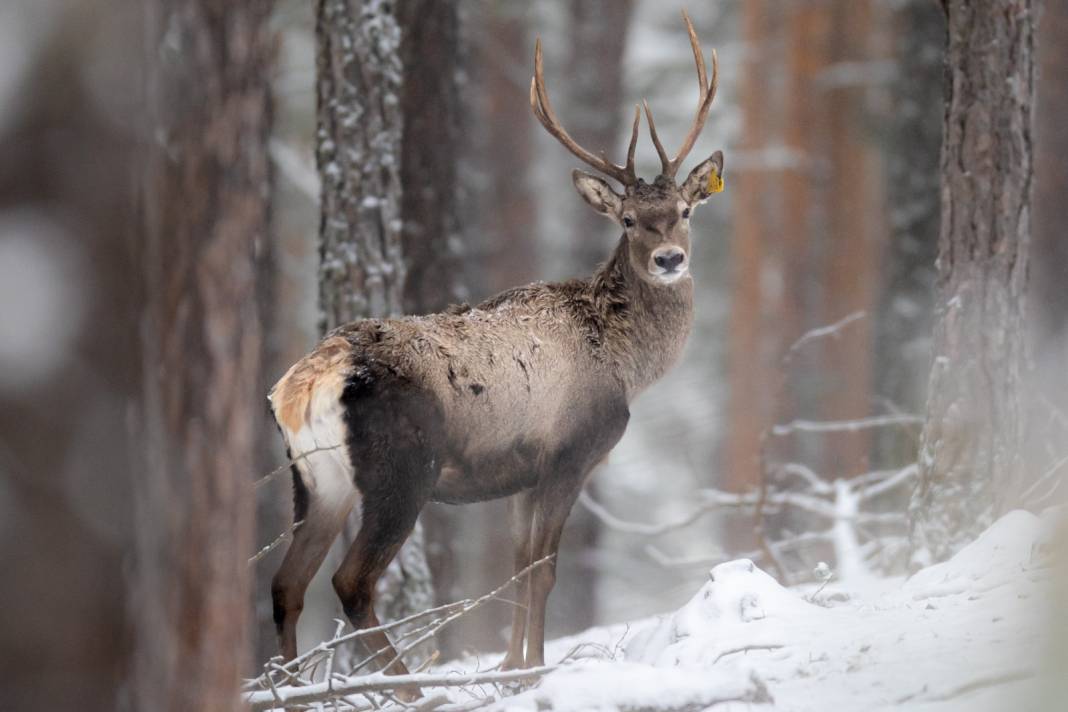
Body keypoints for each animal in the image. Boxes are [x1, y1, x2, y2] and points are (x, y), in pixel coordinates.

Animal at [265, 9, 721, 691]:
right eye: (628, 221)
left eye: (686, 209)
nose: (670, 259)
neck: (626, 365)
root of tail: (306, 380)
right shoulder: (571, 452)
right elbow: (544, 570)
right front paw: (533, 672)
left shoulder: (521, 473)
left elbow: (518, 566)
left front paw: (511, 667)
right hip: (403, 469)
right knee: (350, 582)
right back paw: (407, 687)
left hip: (316, 479)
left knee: (286, 584)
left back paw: (296, 690)